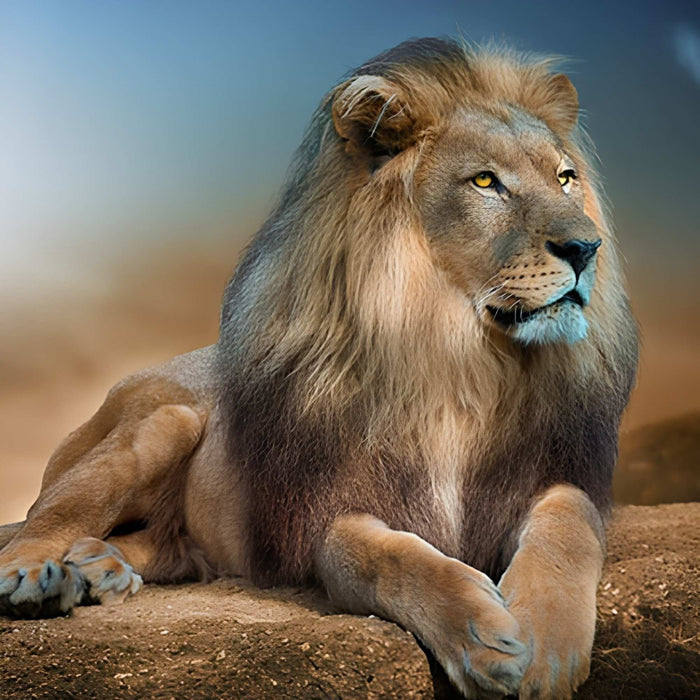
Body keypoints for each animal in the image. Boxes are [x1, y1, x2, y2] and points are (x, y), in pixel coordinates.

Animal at [0, 38, 637, 699]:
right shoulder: (324, 512)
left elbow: (570, 520)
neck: (458, 360)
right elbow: (384, 558)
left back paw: (101, 567)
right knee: (40, 520)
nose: (586, 248)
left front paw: (546, 645)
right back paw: (39, 577)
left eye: (565, 178)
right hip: (162, 422)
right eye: (486, 181)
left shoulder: (549, 473)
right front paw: (481, 635)